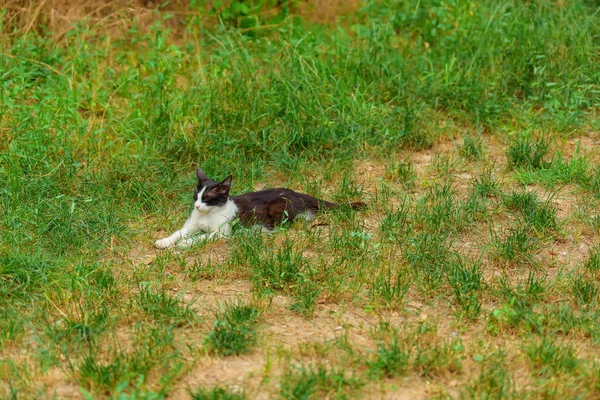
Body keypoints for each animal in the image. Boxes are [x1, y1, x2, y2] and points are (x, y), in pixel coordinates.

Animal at [155, 165, 366, 247]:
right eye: (196, 197)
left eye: (207, 199)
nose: (198, 206)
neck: (206, 216)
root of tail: (298, 193)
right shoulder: (191, 225)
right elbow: (179, 232)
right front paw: (164, 241)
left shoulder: (223, 232)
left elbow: (202, 237)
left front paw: (185, 243)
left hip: (279, 206)